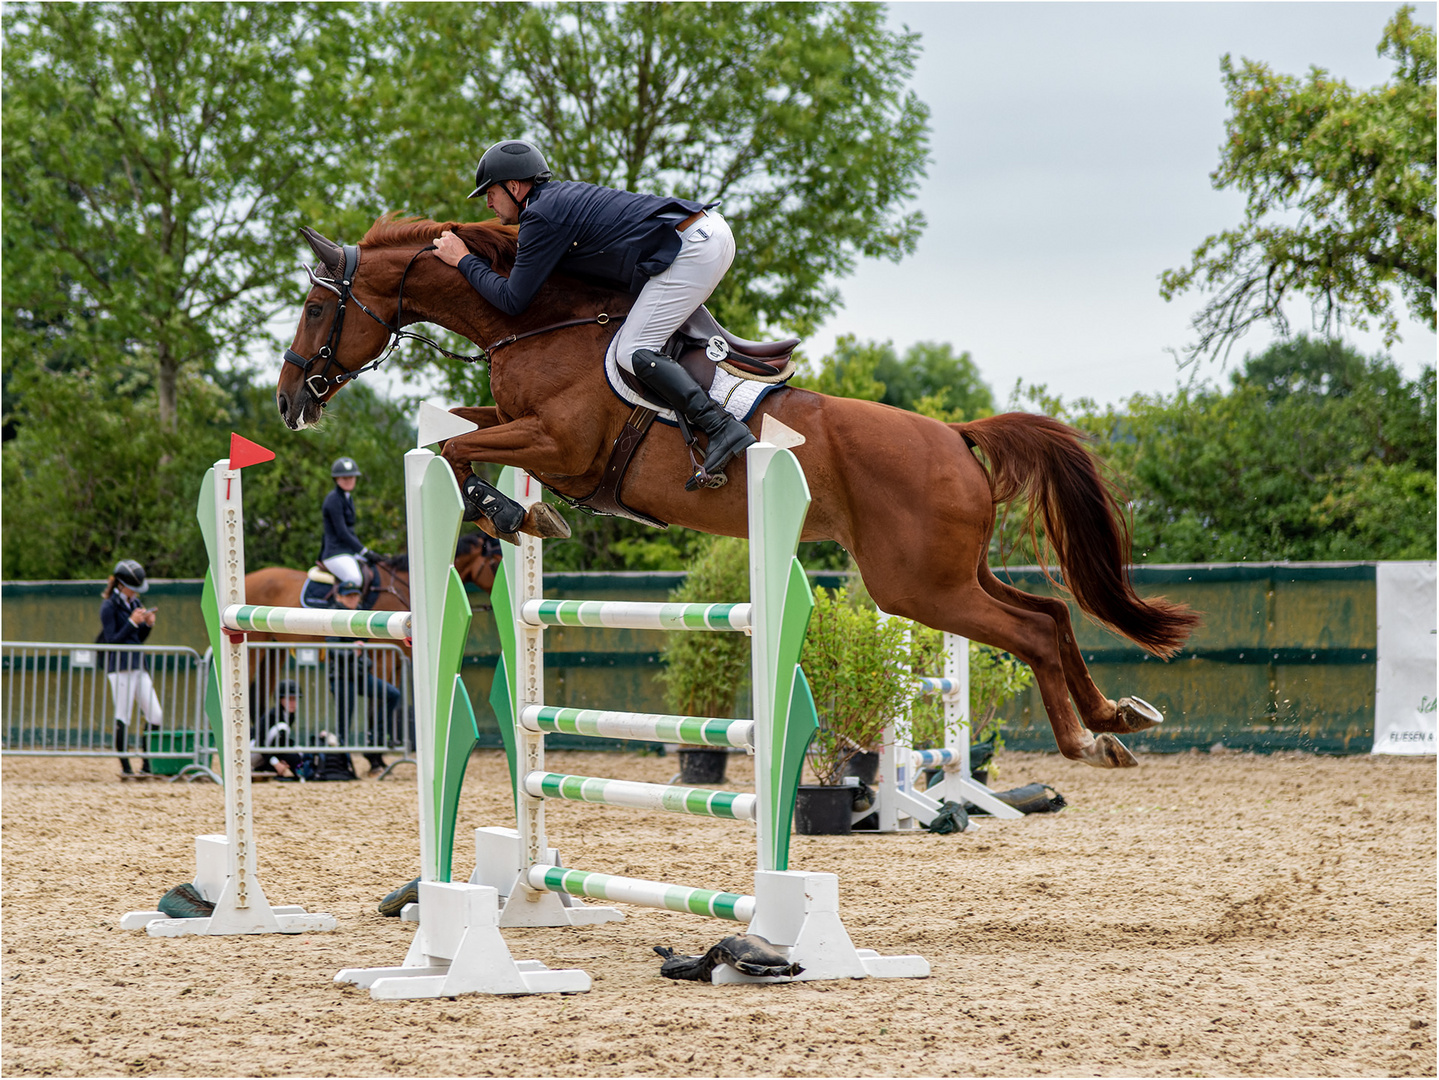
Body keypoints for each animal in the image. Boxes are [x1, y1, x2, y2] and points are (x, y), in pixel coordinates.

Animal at [274, 217, 1197, 770]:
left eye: (317, 308)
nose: (290, 401)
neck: (535, 318)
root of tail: (952, 434)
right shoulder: (525, 426)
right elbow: (458, 427)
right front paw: (519, 509)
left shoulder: (560, 445)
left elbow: (457, 443)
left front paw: (514, 511)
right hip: (946, 573)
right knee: (1049, 613)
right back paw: (1118, 717)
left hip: (916, 585)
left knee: (1030, 630)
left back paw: (1084, 741)